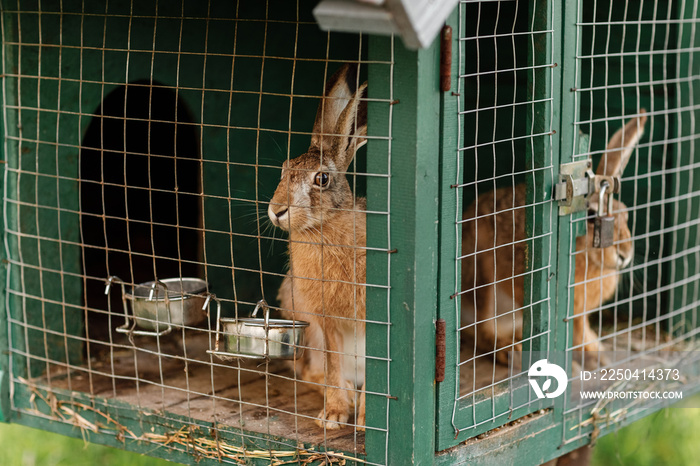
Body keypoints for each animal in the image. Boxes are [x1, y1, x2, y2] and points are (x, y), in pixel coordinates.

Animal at [266, 63, 366, 432]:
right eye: (283, 170)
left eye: (321, 179)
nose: (277, 210)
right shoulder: (327, 325)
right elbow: (334, 366)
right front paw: (334, 415)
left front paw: (364, 420)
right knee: (311, 371)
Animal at [462, 112, 648, 364]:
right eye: (591, 217)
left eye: (626, 214)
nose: (625, 255)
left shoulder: (579, 312)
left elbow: (580, 326)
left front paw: (595, 352)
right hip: (482, 282)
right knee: (482, 330)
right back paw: (508, 349)